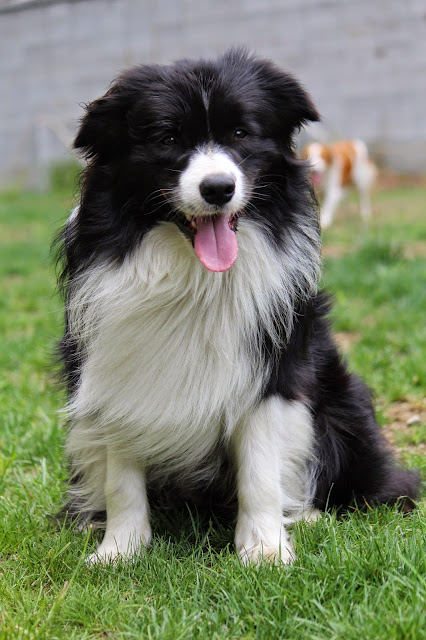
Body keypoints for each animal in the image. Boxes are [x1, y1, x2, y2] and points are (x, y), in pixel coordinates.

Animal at [56, 50, 418, 565]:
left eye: (242, 134)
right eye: (168, 137)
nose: (218, 188)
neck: (193, 274)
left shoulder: (273, 368)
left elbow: (261, 470)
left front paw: (264, 549)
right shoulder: (116, 364)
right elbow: (121, 476)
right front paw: (120, 550)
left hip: (342, 403)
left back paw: (309, 513)